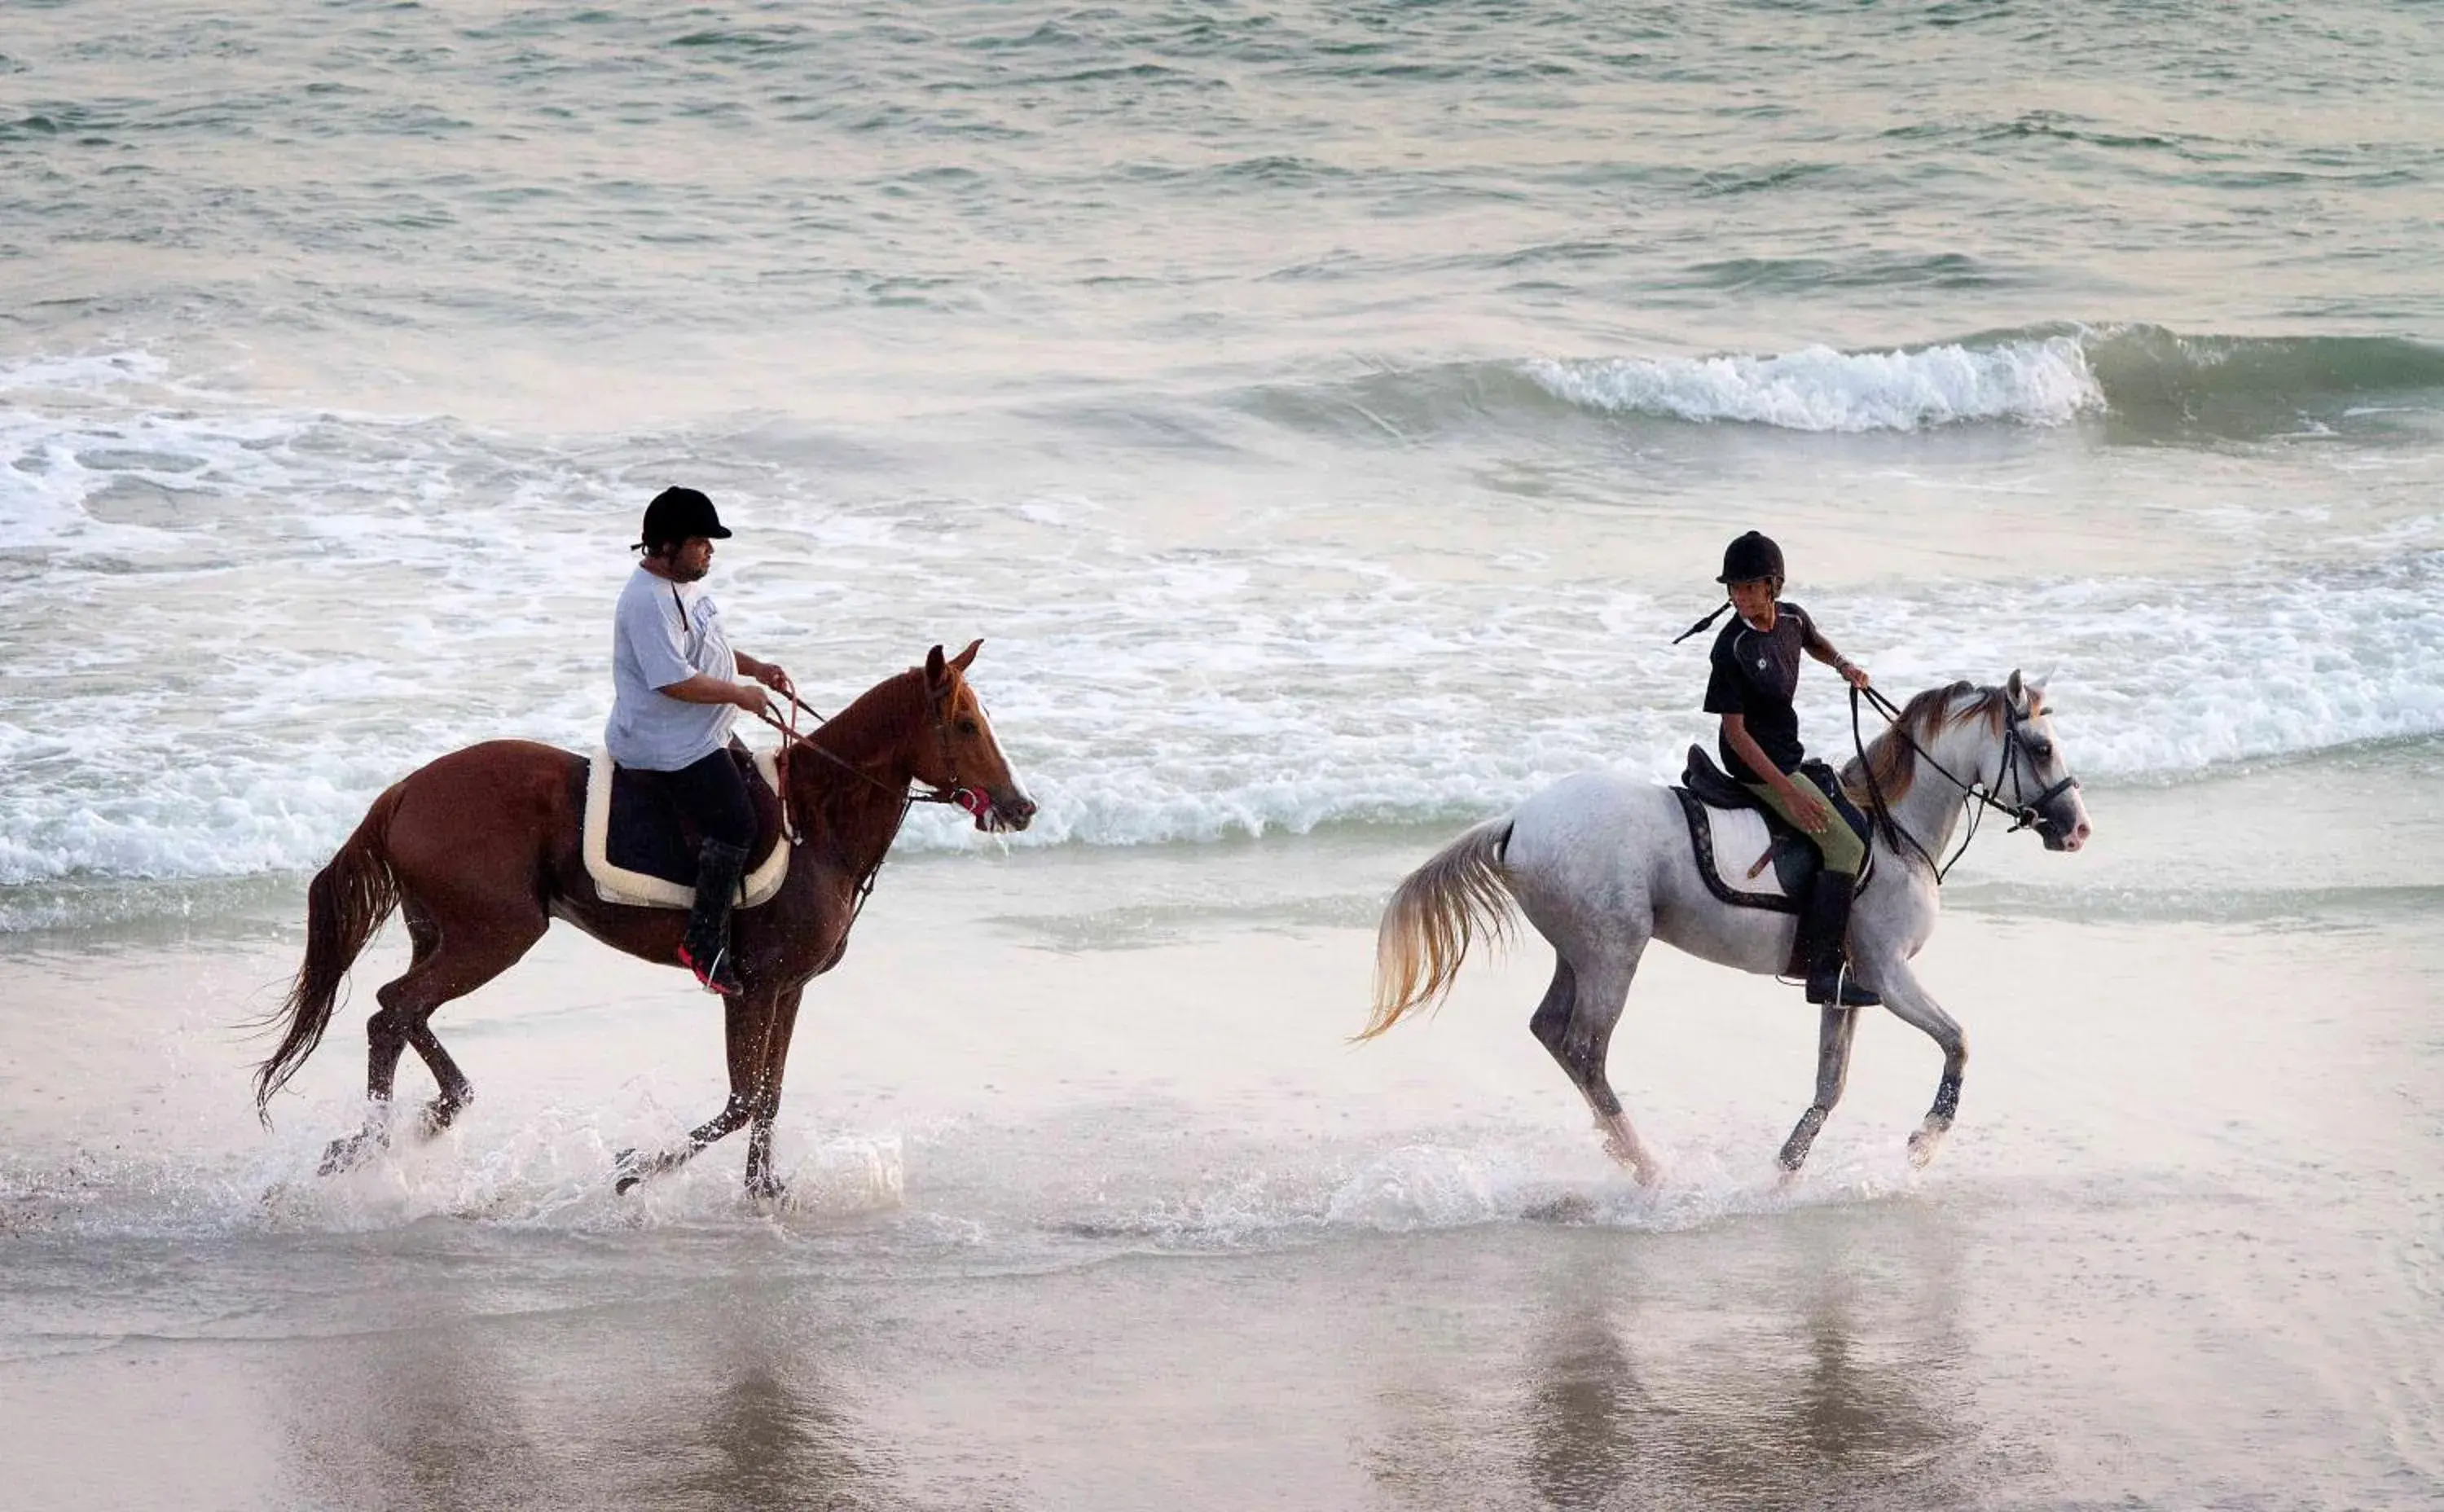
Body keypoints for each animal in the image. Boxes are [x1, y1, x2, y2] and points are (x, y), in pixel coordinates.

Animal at [253, 635, 1036, 1197]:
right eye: (965, 724)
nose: (1022, 807)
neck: (819, 823)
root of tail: (406, 790)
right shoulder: (753, 989)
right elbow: (746, 1098)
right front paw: (637, 1168)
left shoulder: (788, 990)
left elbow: (770, 1097)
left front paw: (764, 1190)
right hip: (496, 935)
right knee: (393, 1012)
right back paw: (373, 1142)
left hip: (446, 933)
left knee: (403, 1013)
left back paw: (420, 1119)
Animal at [1369, 674, 2092, 1182]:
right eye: (2041, 748)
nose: (2079, 829)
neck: (1893, 829)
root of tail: (1518, 818)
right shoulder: (1888, 977)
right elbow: (1958, 1042)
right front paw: (1923, 1144)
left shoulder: (1845, 986)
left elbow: (1831, 1086)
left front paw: (1783, 1173)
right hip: (1612, 954)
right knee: (1585, 1049)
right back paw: (1648, 1168)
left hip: (1577, 952)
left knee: (1553, 1033)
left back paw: (1626, 1156)